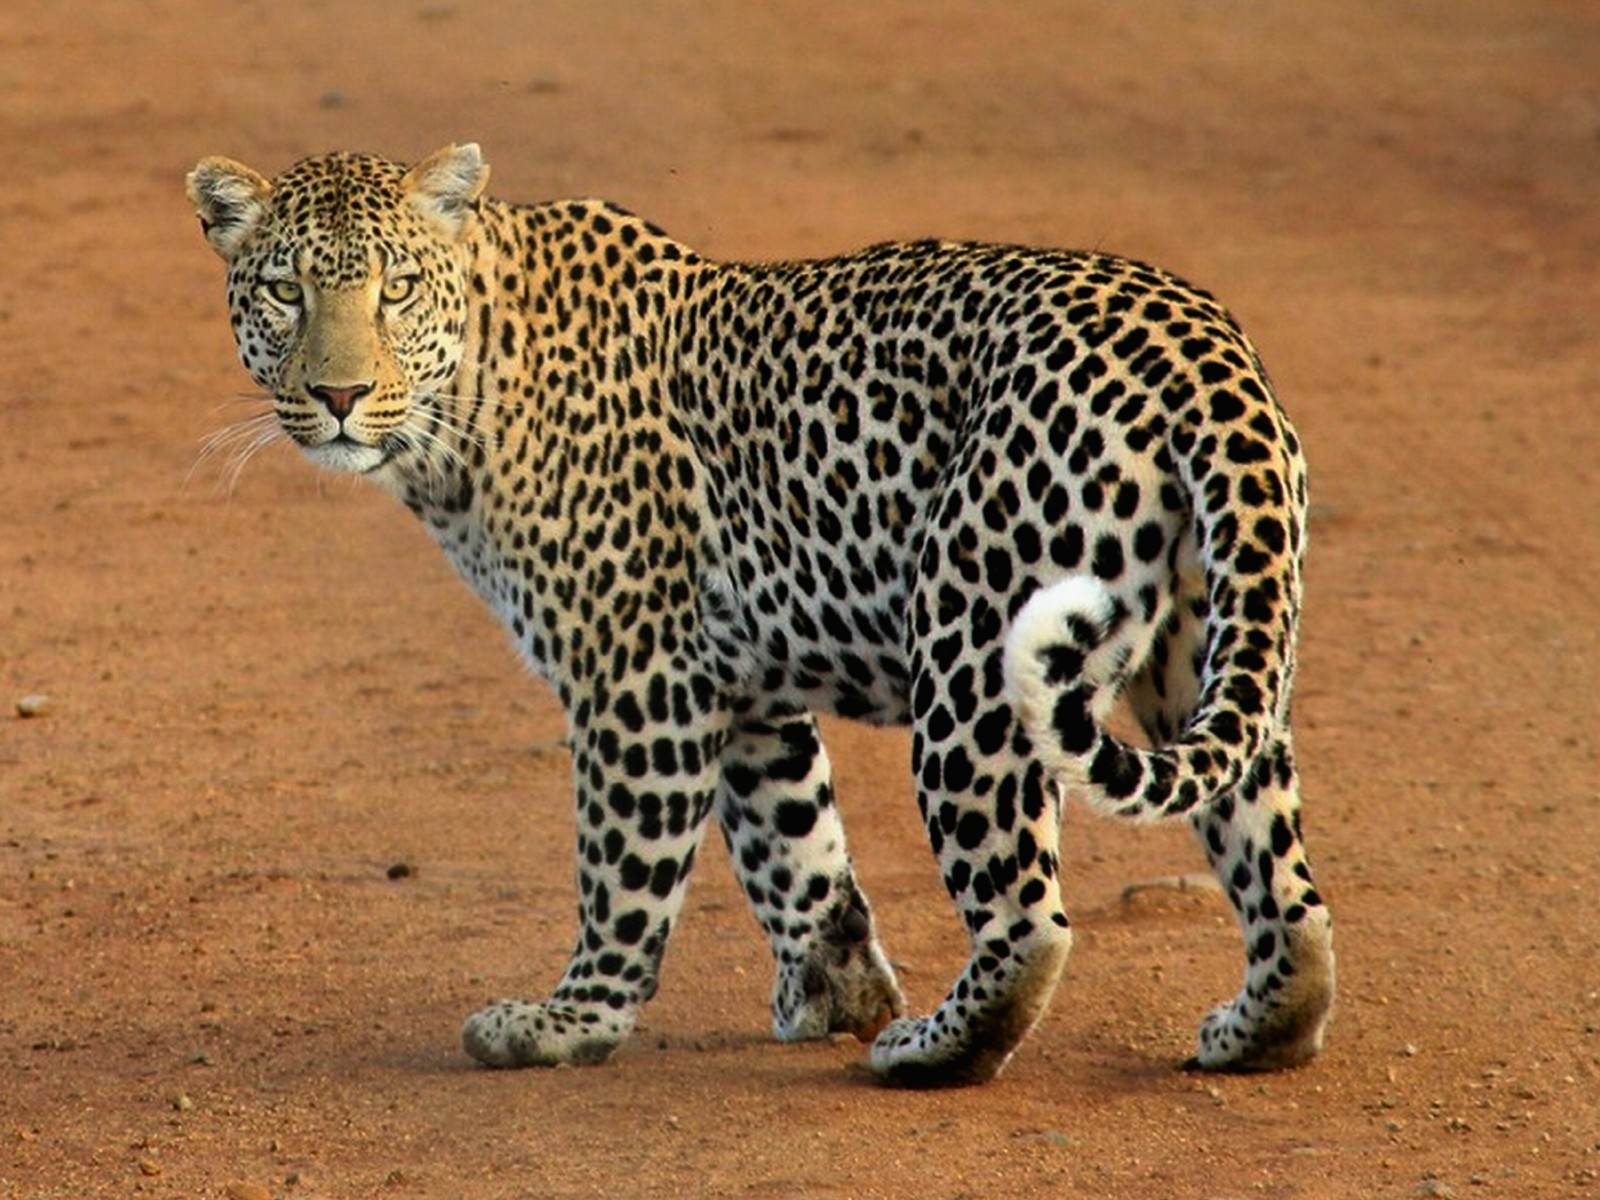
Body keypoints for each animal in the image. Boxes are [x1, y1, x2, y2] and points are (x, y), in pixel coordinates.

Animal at [186, 143, 1335, 1087]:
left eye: (397, 290)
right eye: (285, 292)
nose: (339, 396)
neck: (467, 398)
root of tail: (1200, 349)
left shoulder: (638, 676)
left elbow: (624, 870)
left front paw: (569, 1023)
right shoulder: (739, 683)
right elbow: (797, 848)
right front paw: (835, 990)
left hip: (973, 652)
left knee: (1026, 918)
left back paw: (929, 1050)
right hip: (1207, 648)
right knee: (1281, 878)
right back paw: (1257, 1030)